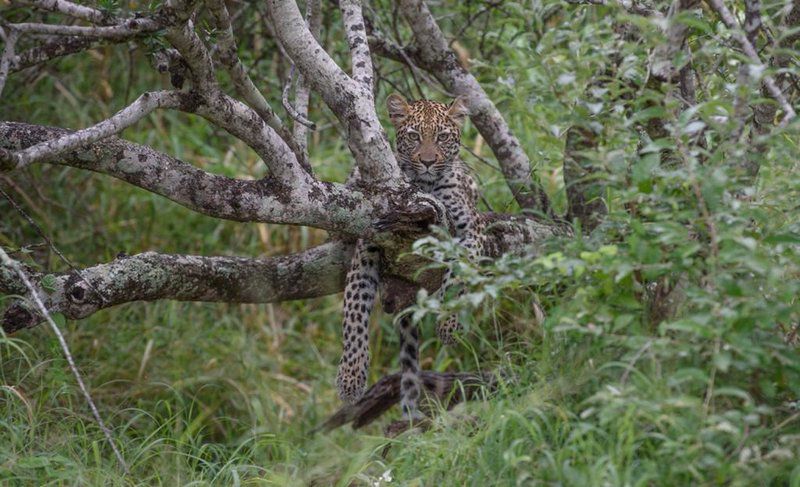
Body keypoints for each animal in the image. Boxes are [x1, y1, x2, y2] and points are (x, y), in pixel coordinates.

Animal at [334, 94, 484, 420]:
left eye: (442, 137)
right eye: (414, 136)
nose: (427, 161)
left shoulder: (473, 229)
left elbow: (459, 277)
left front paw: (448, 326)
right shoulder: (368, 246)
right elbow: (354, 311)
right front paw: (350, 377)